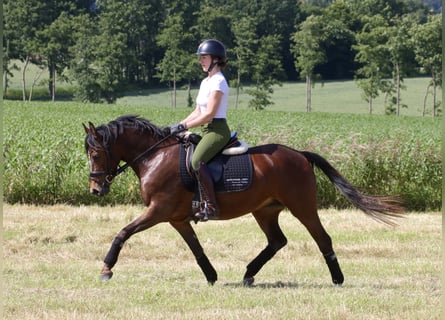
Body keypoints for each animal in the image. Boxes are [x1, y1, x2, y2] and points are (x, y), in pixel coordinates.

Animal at [82, 114, 402, 286]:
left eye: (96, 153)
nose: (96, 190)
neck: (154, 156)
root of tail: (300, 154)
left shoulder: (158, 210)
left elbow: (122, 233)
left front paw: (106, 269)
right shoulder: (176, 218)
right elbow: (196, 248)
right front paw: (211, 275)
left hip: (302, 206)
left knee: (322, 238)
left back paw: (337, 279)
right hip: (265, 210)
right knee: (277, 241)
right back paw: (248, 274)